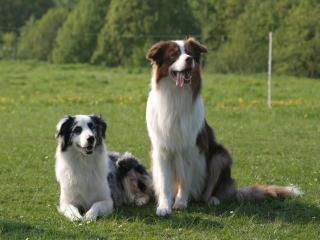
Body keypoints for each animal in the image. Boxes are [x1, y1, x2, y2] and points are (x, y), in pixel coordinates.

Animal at [145, 37, 302, 216]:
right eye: (173, 55)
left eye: (190, 53)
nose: (189, 60)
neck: (175, 96)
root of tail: (234, 190)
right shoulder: (162, 149)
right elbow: (165, 182)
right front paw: (164, 206)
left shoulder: (191, 148)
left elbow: (185, 179)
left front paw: (181, 202)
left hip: (221, 156)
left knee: (207, 194)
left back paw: (212, 199)